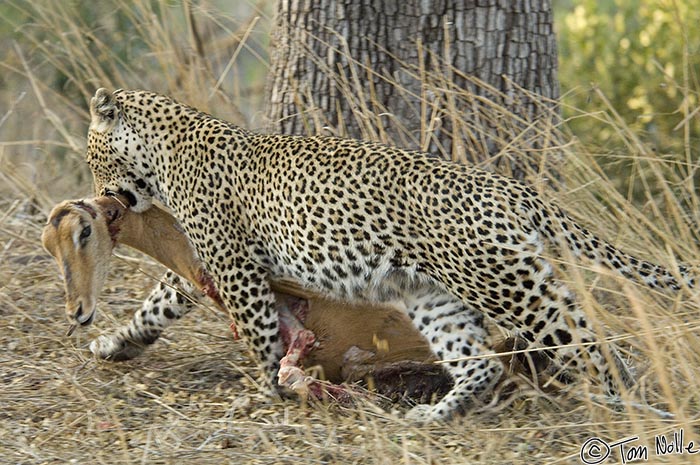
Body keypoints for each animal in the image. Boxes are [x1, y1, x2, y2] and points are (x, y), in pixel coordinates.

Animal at [79, 87, 692, 420]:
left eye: (93, 157)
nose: (100, 197)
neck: (161, 153)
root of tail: (511, 187)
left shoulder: (234, 268)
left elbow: (258, 336)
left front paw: (268, 390)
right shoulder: (212, 263)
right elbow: (157, 302)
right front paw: (115, 343)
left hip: (507, 283)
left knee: (584, 336)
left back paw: (627, 407)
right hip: (437, 295)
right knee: (482, 363)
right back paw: (430, 418)